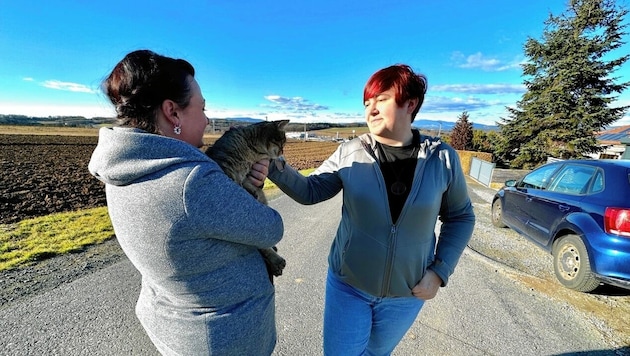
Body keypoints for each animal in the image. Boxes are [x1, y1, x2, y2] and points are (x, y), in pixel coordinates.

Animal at [206, 119, 290, 280]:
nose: (282, 152)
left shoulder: (245, 175)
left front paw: (251, 190)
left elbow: (248, 183)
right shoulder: (226, 168)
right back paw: (276, 261)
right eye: (282, 141)